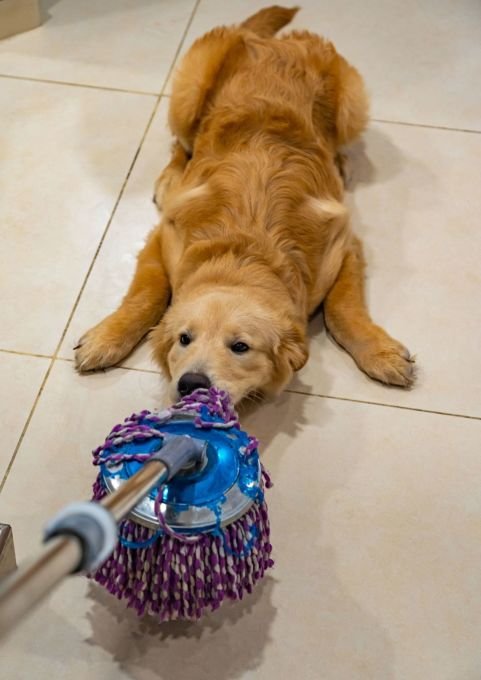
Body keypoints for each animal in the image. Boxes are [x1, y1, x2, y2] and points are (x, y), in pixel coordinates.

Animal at [74, 5, 412, 404]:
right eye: (185, 339)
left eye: (240, 346)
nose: (191, 384)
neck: (243, 254)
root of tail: (266, 40)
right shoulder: (165, 236)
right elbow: (146, 295)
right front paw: (106, 337)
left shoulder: (342, 246)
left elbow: (344, 309)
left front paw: (381, 353)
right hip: (186, 95)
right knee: (180, 144)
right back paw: (171, 178)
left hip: (352, 106)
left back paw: (341, 164)